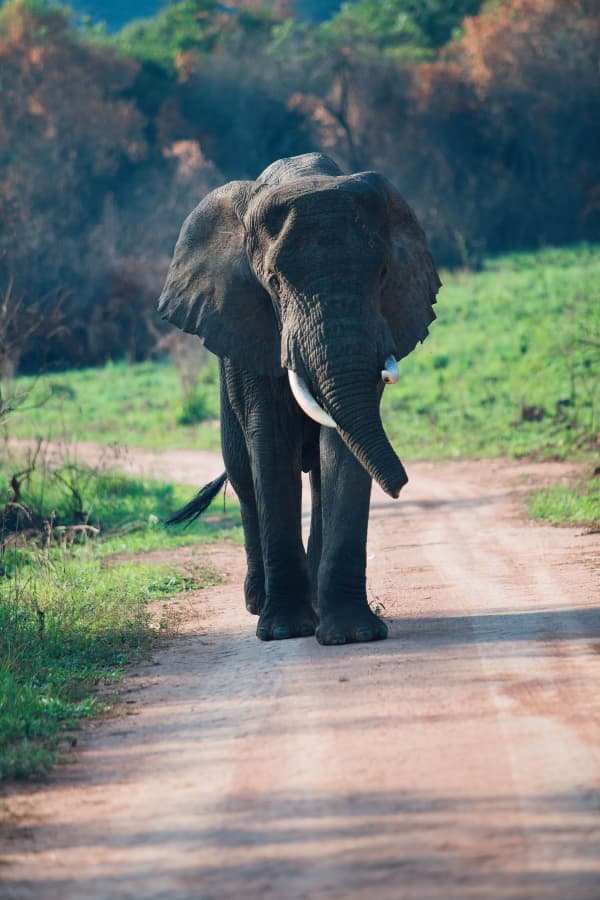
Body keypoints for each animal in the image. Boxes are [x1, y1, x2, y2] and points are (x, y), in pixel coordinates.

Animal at [158, 153, 440, 645]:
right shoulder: (251, 329)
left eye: (383, 274)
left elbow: (343, 449)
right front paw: (284, 631)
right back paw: (259, 604)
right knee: (244, 477)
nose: (403, 484)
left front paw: (354, 635)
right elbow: (270, 447)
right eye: (272, 281)